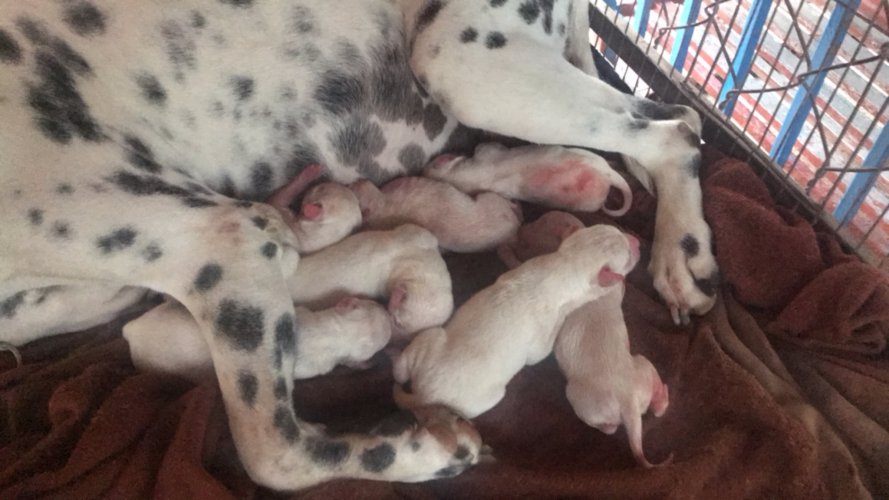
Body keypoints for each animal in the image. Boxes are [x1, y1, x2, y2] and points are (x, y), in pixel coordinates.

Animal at [393, 224, 640, 418]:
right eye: (628, 258)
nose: (637, 241)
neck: (565, 266)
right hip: (482, 400)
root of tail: (425, 394)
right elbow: (538, 353)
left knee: (402, 368)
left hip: (429, 339)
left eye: (617, 230)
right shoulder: (541, 339)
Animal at [555, 287, 671, 468]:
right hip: (642, 369)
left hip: (582, 401)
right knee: (656, 409)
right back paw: (662, 395)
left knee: (610, 428)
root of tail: (627, 401)